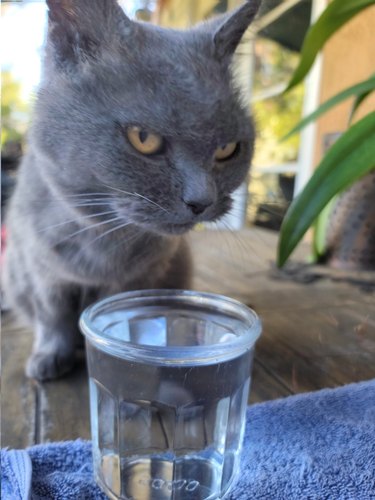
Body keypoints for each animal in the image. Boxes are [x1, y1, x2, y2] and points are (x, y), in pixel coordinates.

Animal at [3, 0, 262, 378]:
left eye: (228, 149)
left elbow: (130, 311)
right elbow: (53, 316)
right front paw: (49, 357)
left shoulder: (145, 275)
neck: (102, 235)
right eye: (144, 138)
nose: (202, 200)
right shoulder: (41, 271)